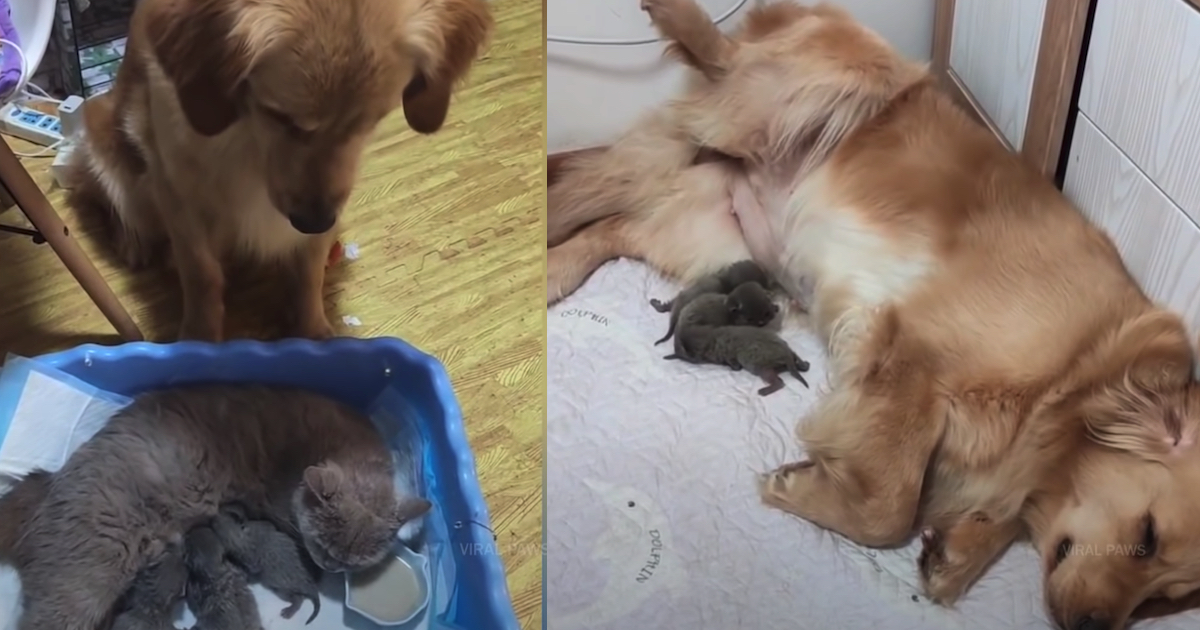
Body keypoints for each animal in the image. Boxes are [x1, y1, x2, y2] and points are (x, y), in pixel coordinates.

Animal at [66, 0, 492, 340]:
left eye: (373, 120)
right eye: (280, 115)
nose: (314, 220)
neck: (248, 138)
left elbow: (309, 273)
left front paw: (314, 333)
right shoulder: (180, 194)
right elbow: (202, 276)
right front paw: (199, 341)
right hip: (104, 140)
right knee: (106, 197)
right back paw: (132, 241)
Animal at [552, 2, 1200, 624]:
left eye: (1165, 598)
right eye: (1146, 537)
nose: (1089, 625)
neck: (1082, 374)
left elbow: (991, 518)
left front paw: (958, 550)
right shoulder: (911, 354)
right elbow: (890, 510)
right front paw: (800, 487)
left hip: (712, 233)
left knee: (611, 228)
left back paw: (557, 268)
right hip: (836, 78)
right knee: (724, 59)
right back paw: (678, 18)